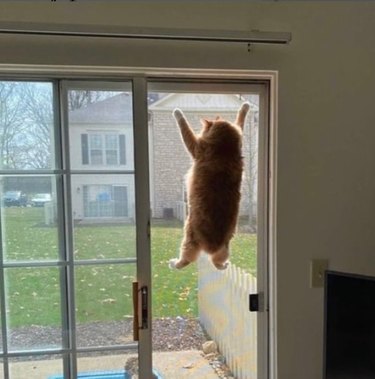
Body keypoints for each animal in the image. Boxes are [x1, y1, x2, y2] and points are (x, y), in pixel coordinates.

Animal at [170, 102, 251, 272]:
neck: (224, 150)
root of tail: (211, 246)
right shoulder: (239, 136)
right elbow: (240, 119)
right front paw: (245, 105)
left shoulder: (195, 146)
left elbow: (184, 126)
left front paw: (177, 112)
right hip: (226, 248)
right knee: (217, 261)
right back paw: (223, 266)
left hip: (188, 238)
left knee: (186, 260)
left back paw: (174, 264)